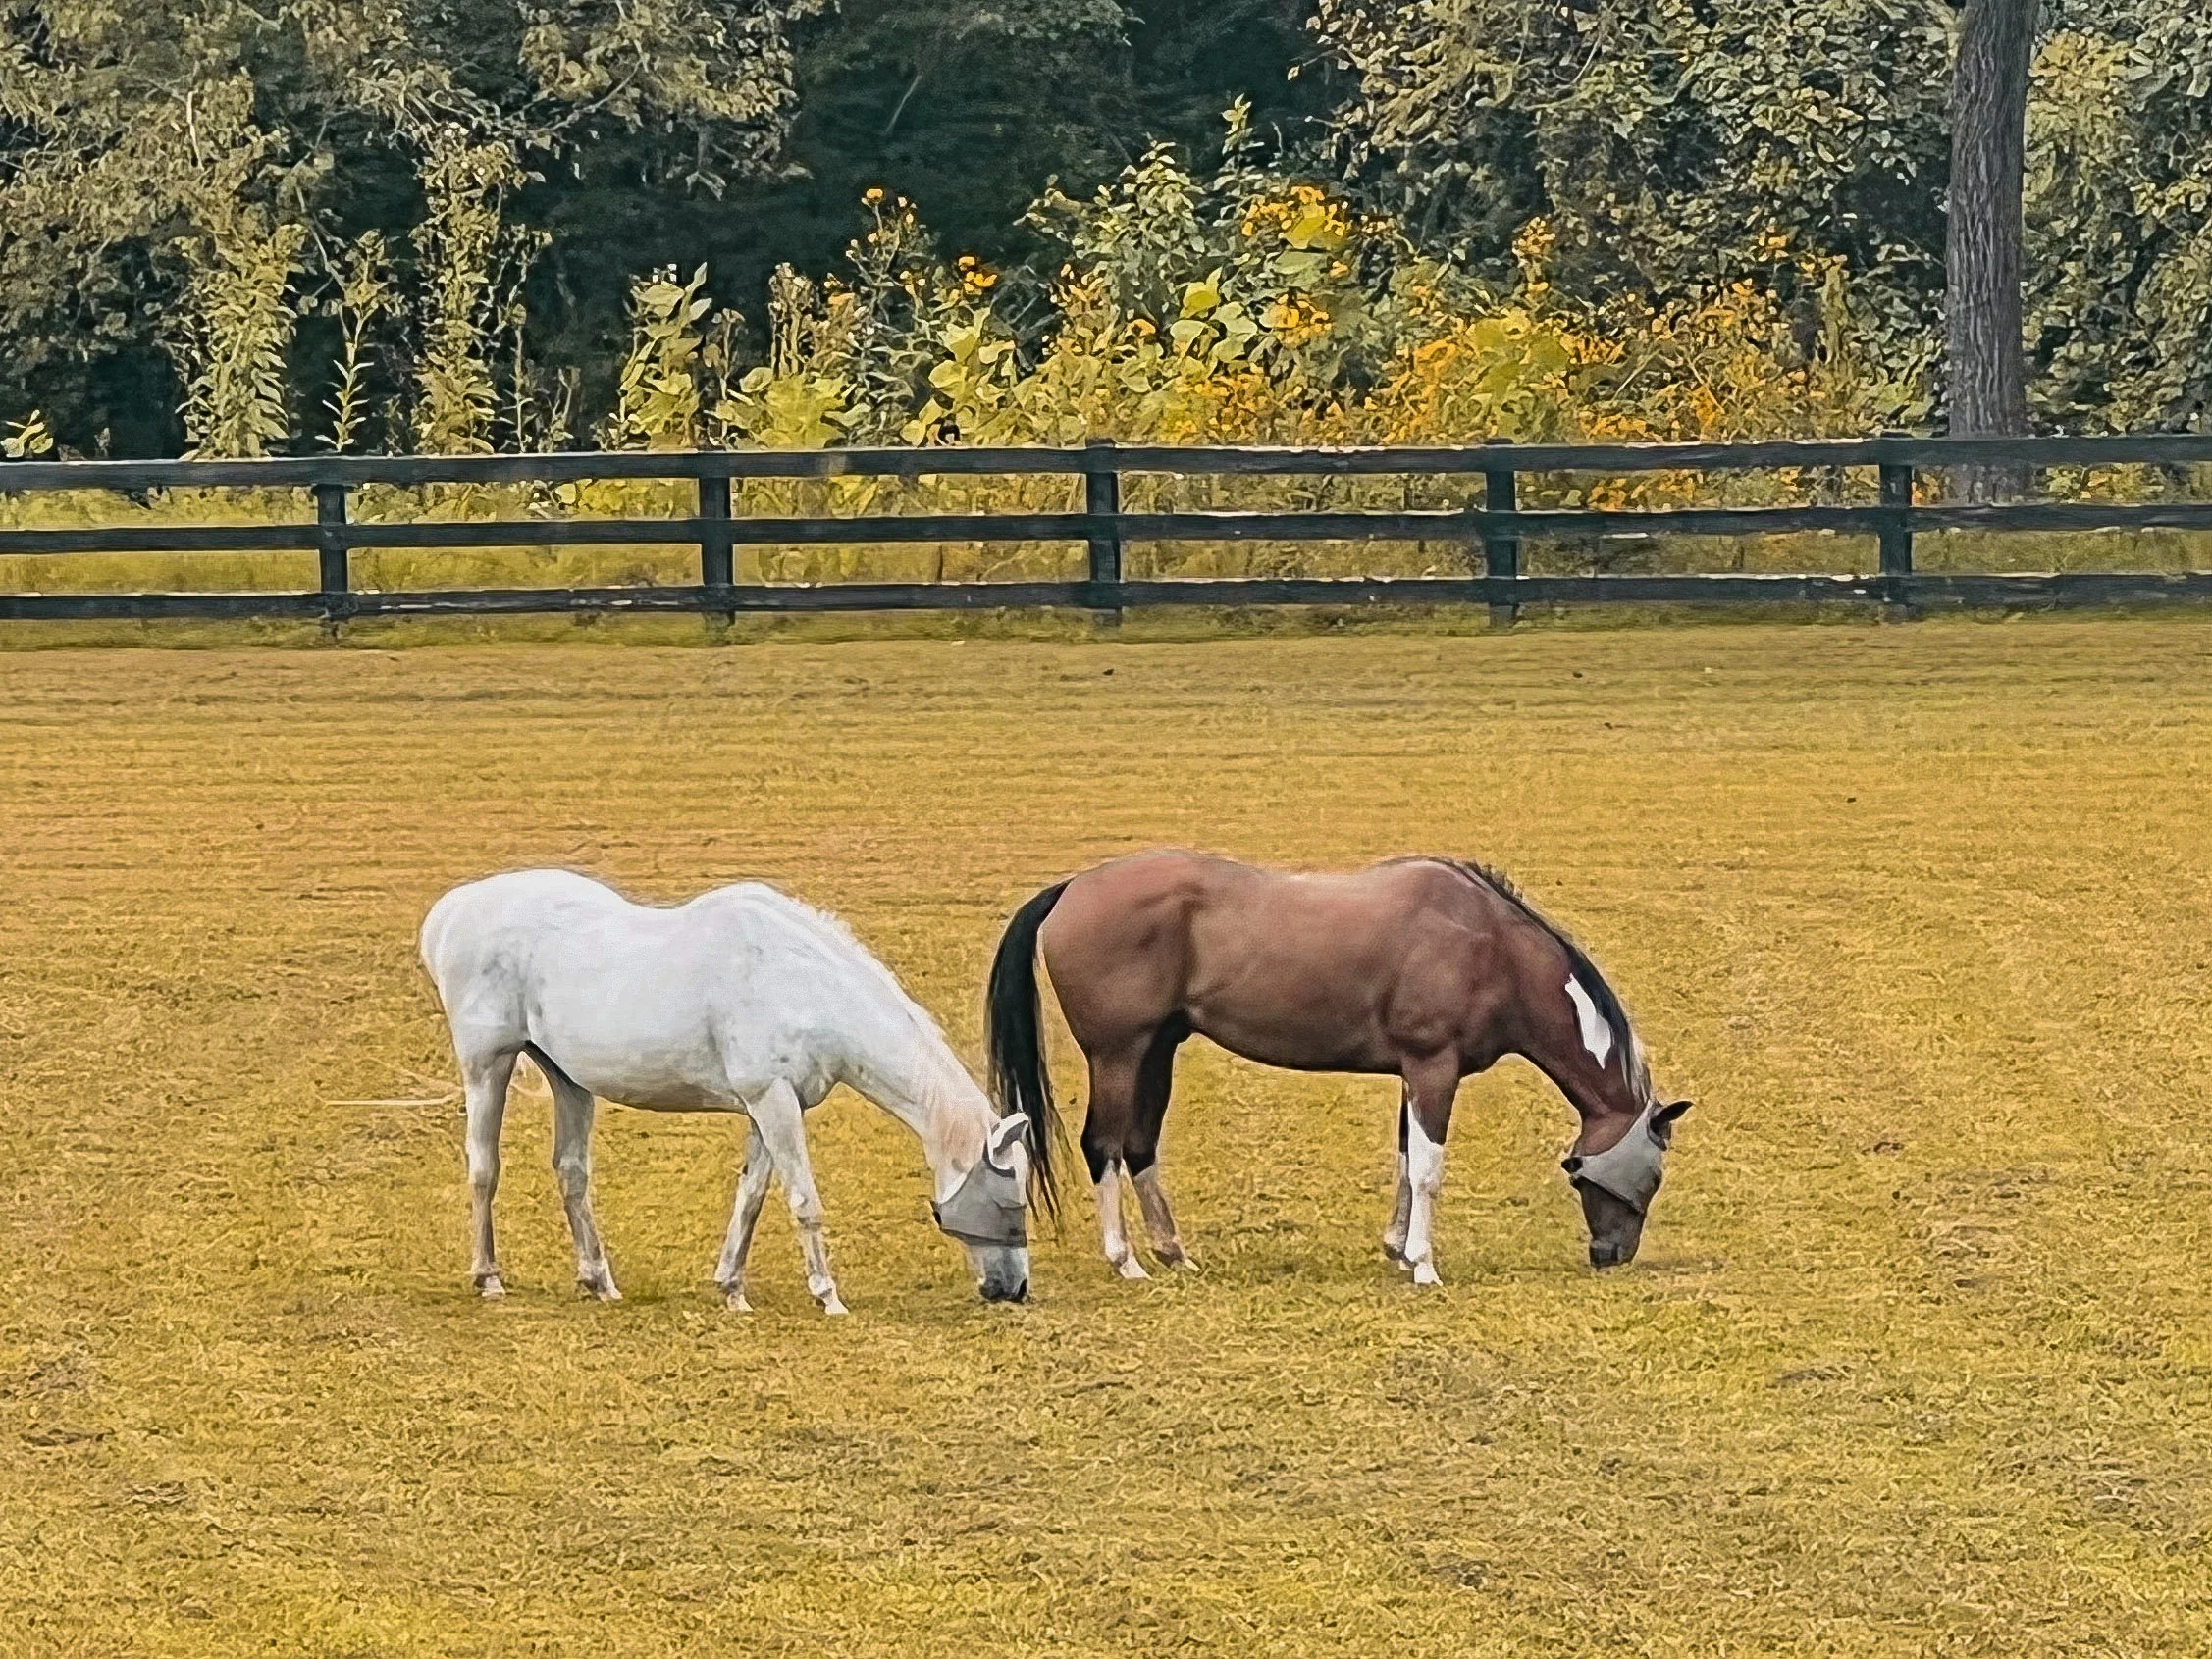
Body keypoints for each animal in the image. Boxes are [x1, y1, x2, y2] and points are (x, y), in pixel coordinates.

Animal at [419, 869, 1049, 1312]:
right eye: (1010, 1192)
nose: (1014, 1288)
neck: (800, 983)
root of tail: (453, 911)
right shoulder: (773, 1101)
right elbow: (803, 1200)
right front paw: (827, 1295)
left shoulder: (768, 1108)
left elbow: (751, 1196)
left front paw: (732, 1288)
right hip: (488, 1066)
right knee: (484, 1167)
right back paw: (488, 1277)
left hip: (568, 1080)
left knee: (571, 1173)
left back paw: (599, 1281)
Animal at [985, 851, 1688, 1284]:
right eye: (1652, 1178)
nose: (1612, 1255)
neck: (1490, 946)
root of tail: (1072, 888)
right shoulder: (1434, 1067)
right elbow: (1428, 1169)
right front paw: (1424, 1264)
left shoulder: (1416, 1073)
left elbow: (1406, 1159)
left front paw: (1399, 1251)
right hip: (1119, 1054)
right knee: (1102, 1145)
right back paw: (1124, 1260)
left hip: (1157, 1050)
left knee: (1138, 1146)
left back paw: (1174, 1254)